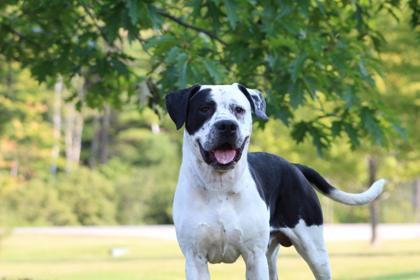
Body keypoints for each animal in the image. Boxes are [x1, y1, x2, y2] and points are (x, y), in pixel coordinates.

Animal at [166, 83, 386, 280]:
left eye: (239, 109)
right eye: (204, 108)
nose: (227, 125)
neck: (219, 187)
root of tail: (293, 165)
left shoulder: (254, 257)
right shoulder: (195, 260)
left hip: (314, 252)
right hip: (270, 257)